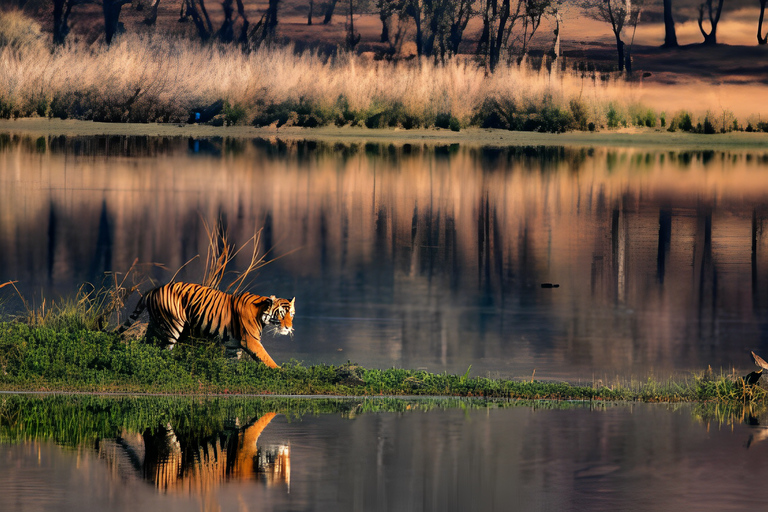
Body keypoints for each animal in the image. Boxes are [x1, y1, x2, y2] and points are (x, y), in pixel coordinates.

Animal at [118, 280, 296, 368]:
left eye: (292, 314)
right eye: (281, 314)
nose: (289, 327)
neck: (262, 313)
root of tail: (152, 290)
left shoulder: (233, 345)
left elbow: (231, 364)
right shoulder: (251, 341)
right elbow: (267, 359)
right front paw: (281, 372)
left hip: (155, 326)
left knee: (146, 346)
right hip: (172, 326)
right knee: (162, 350)